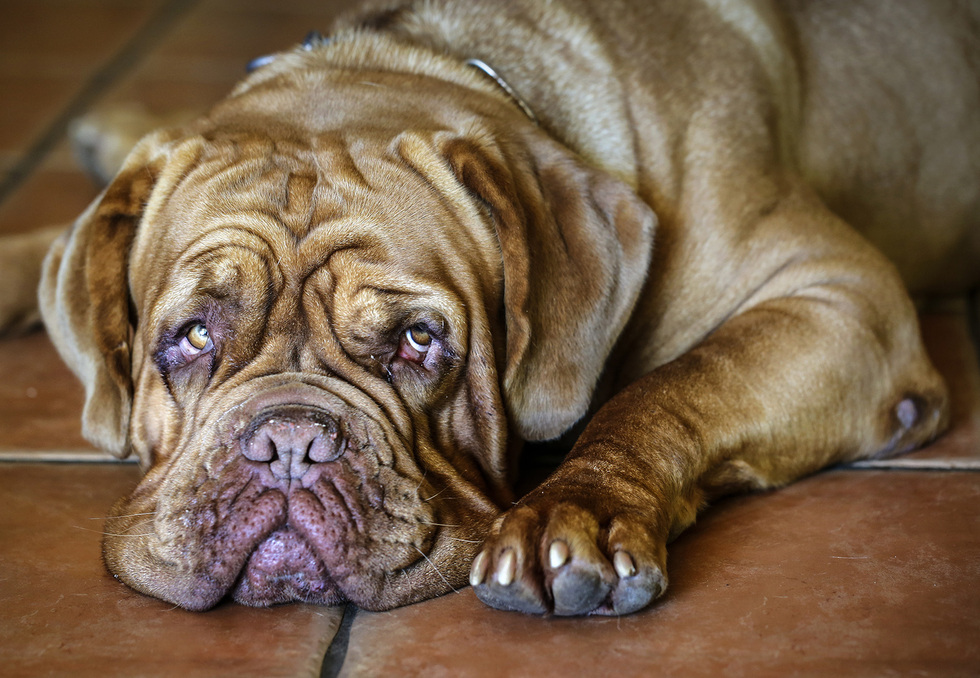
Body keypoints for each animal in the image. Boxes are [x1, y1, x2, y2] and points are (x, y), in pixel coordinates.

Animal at [1, 0, 977, 616]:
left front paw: (573, 512)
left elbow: (673, 385)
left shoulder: (842, 294)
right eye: (194, 334)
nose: (288, 446)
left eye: (417, 341)